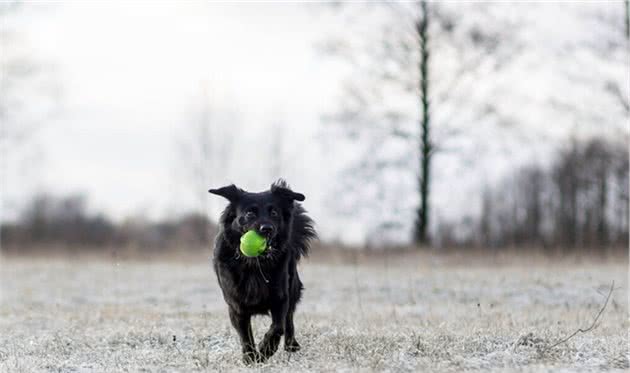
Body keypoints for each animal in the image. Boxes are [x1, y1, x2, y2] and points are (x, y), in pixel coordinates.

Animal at [209, 179, 316, 362]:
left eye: (274, 212)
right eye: (249, 213)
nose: (267, 229)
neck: (254, 263)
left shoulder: (280, 297)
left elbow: (278, 327)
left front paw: (266, 349)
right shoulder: (236, 305)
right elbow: (245, 335)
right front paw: (251, 358)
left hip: (293, 287)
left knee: (289, 320)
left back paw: (291, 345)